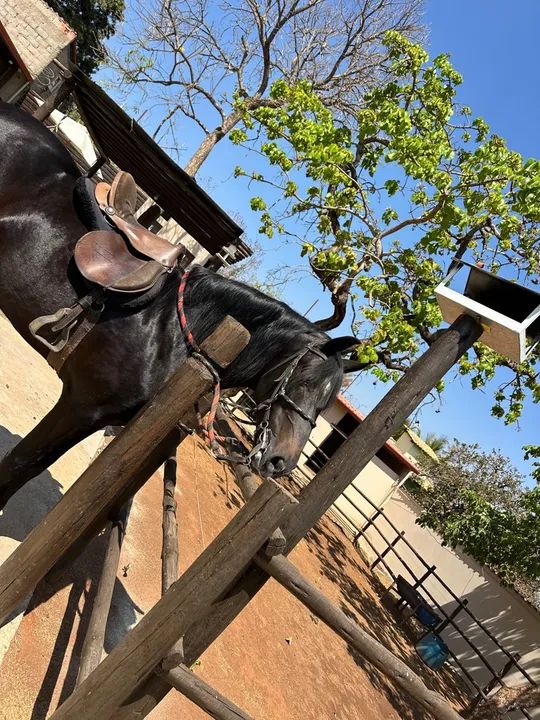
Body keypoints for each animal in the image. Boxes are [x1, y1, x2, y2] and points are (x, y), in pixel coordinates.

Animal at [0, 102, 358, 508]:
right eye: (306, 381)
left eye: (326, 402)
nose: (281, 462)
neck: (170, 331)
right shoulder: (80, 406)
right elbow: (18, 466)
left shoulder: (102, 418)